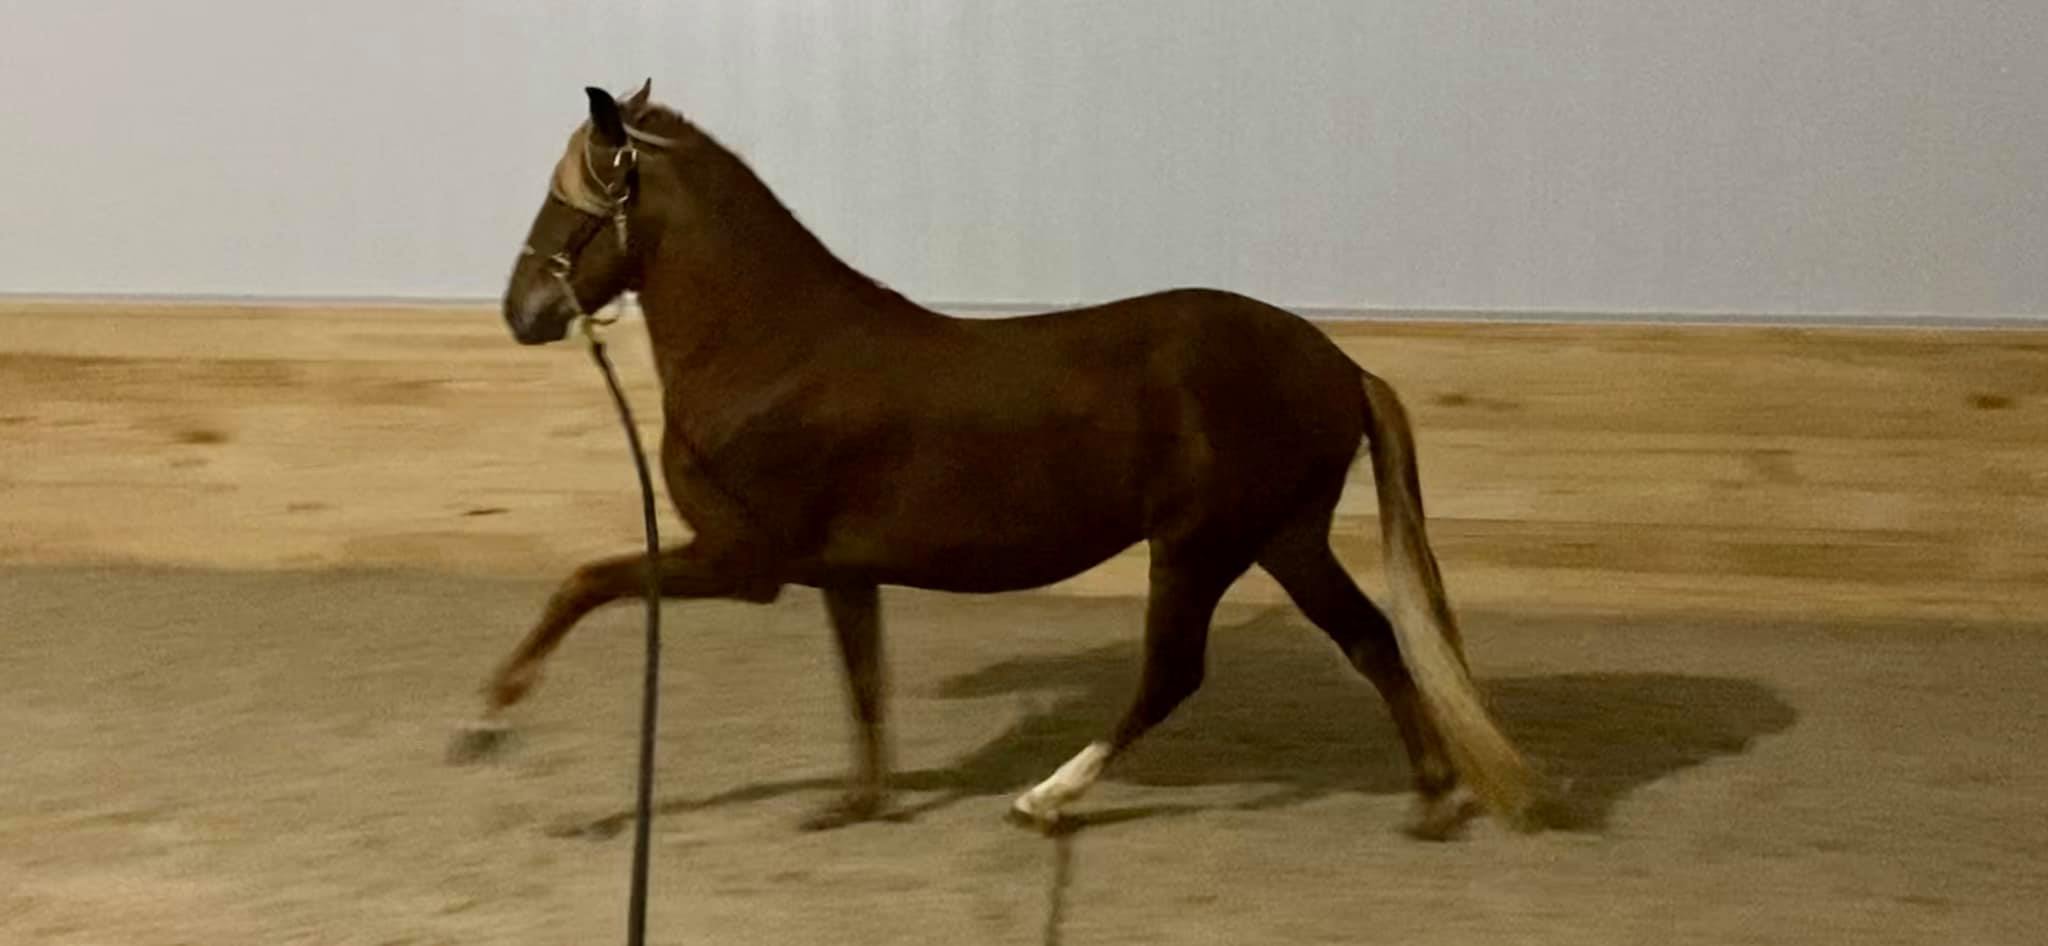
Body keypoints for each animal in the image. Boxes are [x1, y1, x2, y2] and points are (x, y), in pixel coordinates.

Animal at [455, 80, 1541, 840]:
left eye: (571, 202)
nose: (522, 312)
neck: (772, 348)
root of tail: (1338, 363)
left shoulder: (740, 562)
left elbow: (584, 582)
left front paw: (489, 720)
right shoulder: (841, 574)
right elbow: (864, 683)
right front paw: (856, 802)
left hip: (1202, 545)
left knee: (1174, 672)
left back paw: (1046, 799)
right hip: (1282, 537)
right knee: (1370, 640)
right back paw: (1430, 800)